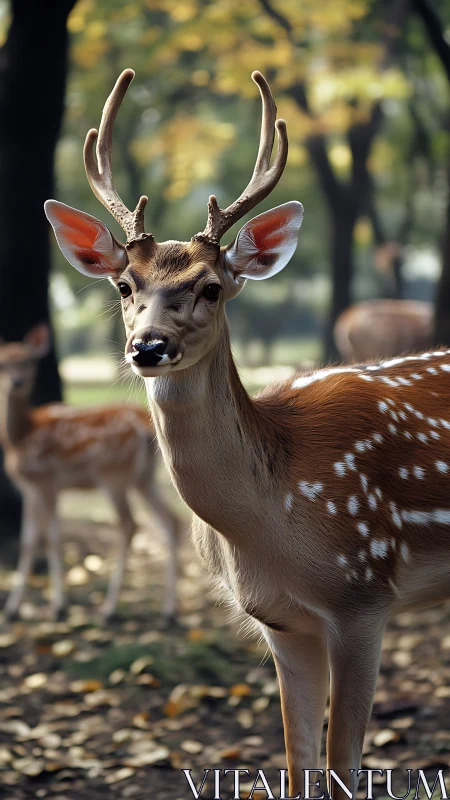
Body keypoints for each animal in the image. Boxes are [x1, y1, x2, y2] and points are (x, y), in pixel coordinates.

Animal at [0, 323, 180, 623]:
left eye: (27, 361)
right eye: (3, 363)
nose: (16, 382)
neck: (21, 435)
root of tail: (144, 426)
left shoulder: (48, 481)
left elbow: (52, 539)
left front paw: (58, 607)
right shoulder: (30, 488)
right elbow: (28, 541)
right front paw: (12, 609)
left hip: (112, 474)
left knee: (129, 524)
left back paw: (109, 609)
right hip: (143, 478)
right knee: (170, 521)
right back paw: (168, 611)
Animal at [44, 67, 450, 798]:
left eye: (210, 286)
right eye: (124, 285)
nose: (148, 346)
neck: (268, 521)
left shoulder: (364, 593)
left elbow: (343, 768)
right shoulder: (281, 623)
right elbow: (298, 767)